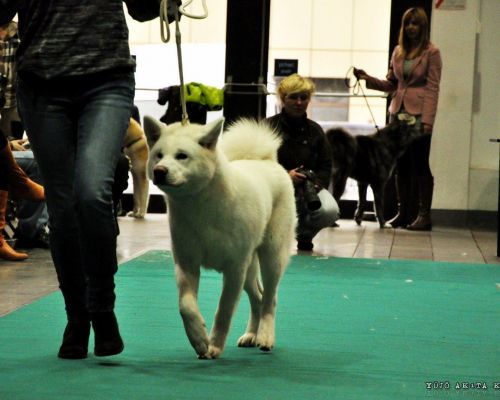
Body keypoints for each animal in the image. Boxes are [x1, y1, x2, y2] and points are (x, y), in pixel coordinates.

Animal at [143, 115, 294, 360]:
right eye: (158, 154)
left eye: (182, 155)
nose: (159, 170)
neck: (200, 204)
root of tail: (267, 161)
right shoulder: (186, 263)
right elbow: (186, 306)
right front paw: (199, 339)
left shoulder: (234, 269)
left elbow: (224, 310)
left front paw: (214, 346)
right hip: (249, 268)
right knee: (258, 297)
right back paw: (250, 335)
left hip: (271, 257)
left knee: (270, 299)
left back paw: (265, 337)